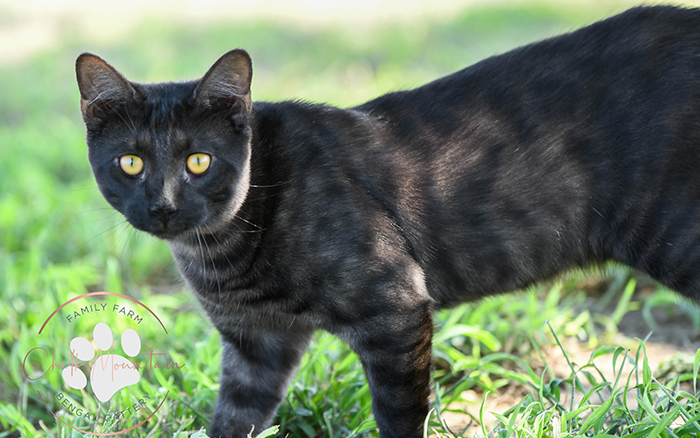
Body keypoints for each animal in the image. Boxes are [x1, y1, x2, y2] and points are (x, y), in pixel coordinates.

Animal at [79, 6, 700, 438]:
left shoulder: (396, 313)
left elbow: (399, 416)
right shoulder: (256, 349)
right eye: (131, 163)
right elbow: (233, 420)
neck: (223, 251)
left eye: (198, 161)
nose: (163, 205)